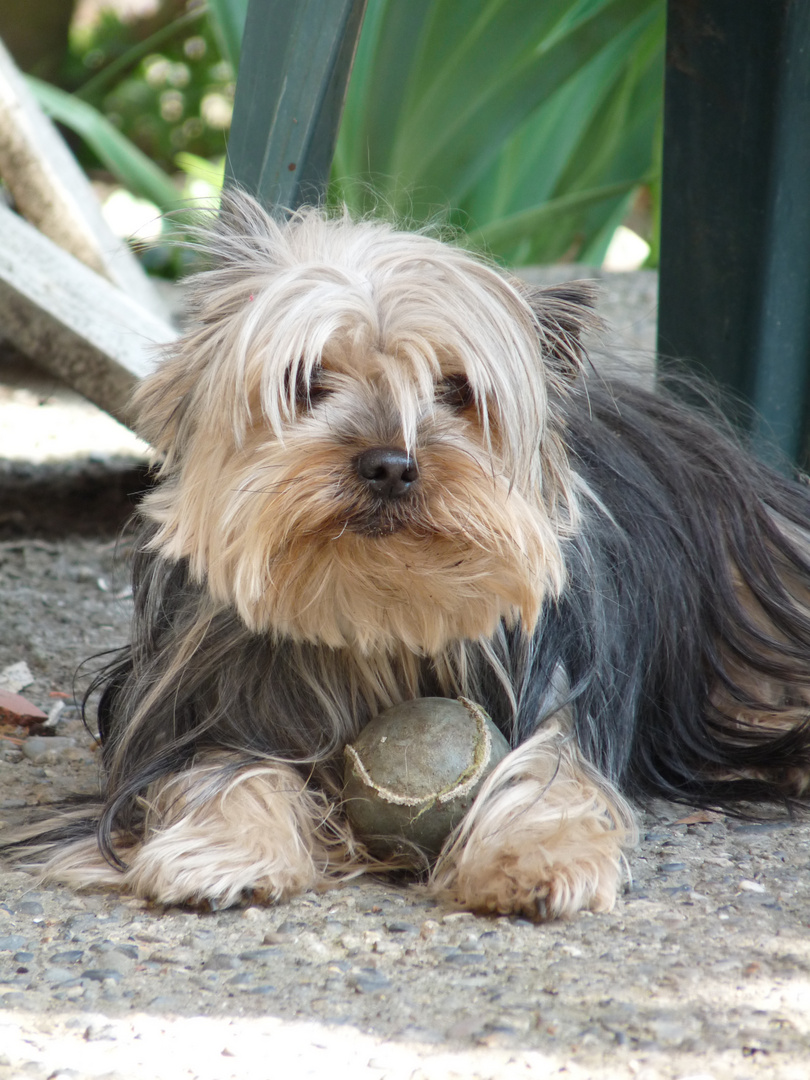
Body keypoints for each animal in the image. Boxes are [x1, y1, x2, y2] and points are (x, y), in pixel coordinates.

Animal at [30, 190, 810, 915]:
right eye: (307, 380)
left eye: (456, 389)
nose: (390, 465)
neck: (378, 608)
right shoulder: (200, 702)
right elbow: (219, 767)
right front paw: (224, 848)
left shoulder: (560, 685)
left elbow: (552, 768)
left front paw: (538, 857)